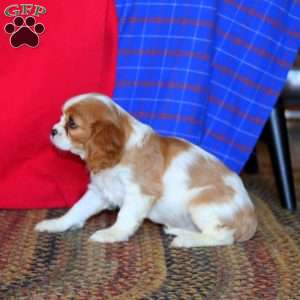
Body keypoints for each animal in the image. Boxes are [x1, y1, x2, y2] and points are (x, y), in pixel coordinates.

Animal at [34, 93, 256, 246]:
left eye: (72, 124)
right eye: (62, 118)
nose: (53, 130)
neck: (120, 156)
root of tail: (251, 220)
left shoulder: (139, 192)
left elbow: (125, 216)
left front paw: (112, 233)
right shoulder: (99, 192)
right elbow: (76, 210)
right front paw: (56, 224)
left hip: (201, 203)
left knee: (222, 236)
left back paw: (186, 239)